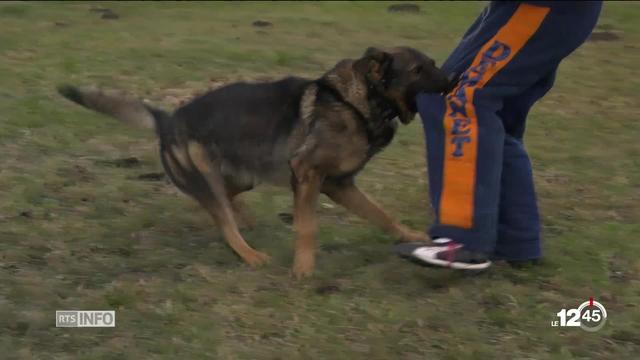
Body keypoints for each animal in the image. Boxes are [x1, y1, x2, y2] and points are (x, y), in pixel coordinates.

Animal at [57, 47, 452, 278]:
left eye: (433, 65)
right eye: (419, 69)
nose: (453, 81)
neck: (356, 102)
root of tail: (167, 119)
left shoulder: (339, 184)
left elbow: (381, 214)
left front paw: (411, 237)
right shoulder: (308, 175)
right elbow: (307, 226)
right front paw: (303, 270)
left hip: (243, 175)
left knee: (230, 199)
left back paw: (245, 218)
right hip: (207, 179)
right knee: (224, 223)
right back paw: (251, 255)